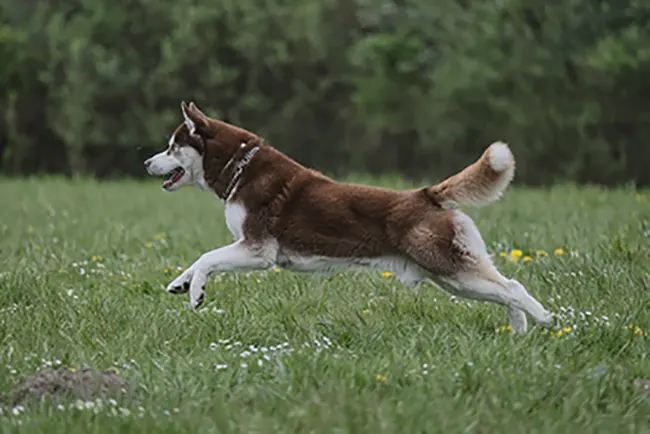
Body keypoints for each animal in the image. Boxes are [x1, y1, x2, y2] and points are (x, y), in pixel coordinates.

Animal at [144, 101, 548, 332]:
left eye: (171, 147)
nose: (146, 162)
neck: (238, 166)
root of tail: (426, 193)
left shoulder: (257, 251)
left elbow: (207, 258)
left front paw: (196, 293)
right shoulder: (246, 247)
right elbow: (199, 260)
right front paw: (180, 283)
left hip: (450, 269)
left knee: (513, 288)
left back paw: (544, 320)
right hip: (451, 279)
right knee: (505, 290)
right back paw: (518, 331)